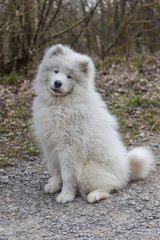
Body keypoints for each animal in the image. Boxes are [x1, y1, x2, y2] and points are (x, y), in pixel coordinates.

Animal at [32, 44, 154, 203]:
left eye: (69, 76)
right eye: (56, 71)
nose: (58, 83)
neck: (60, 104)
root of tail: (127, 170)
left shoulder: (69, 150)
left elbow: (67, 176)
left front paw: (66, 195)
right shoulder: (50, 148)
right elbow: (56, 171)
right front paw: (54, 186)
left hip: (87, 172)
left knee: (112, 185)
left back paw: (95, 195)